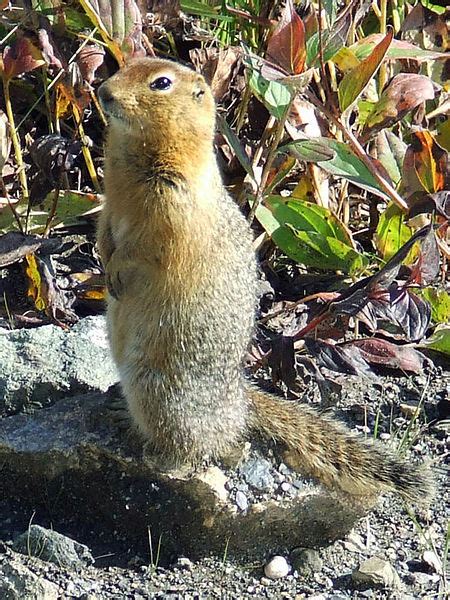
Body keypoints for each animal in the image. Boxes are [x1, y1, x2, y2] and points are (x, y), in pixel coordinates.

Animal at [96, 58, 434, 504]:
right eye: (126, 65)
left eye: (161, 83)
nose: (103, 92)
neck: (136, 155)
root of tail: (239, 403)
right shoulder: (110, 199)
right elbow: (104, 228)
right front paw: (103, 258)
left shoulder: (171, 207)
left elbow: (146, 246)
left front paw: (117, 268)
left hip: (160, 392)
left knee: (204, 446)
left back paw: (164, 459)